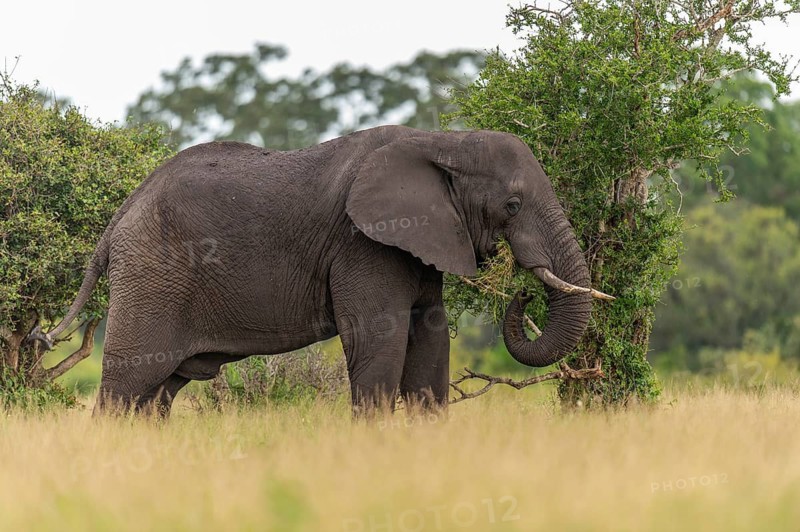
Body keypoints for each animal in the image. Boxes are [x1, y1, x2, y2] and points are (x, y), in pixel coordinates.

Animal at [29, 125, 611, 416]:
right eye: (512, 205)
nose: (523, 294)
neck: (444, 139)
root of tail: (121, 214)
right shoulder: (365, 245)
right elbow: (379, 340)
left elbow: (431, 338)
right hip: (153, 275)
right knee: (127, 384)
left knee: (157, 394)